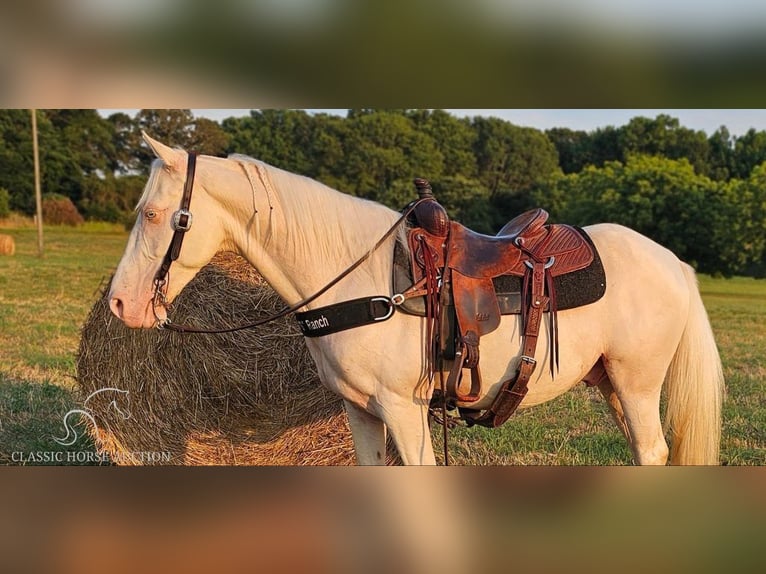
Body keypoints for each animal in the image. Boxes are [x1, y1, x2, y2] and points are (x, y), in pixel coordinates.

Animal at [106, 136, 728, 468]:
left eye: (156, 215)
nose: (118, 305)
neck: (362, 284)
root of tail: (673, 262)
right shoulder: (360, 411)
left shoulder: (403, 409)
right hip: (612, 384)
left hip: (637, 383)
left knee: (652, 450)